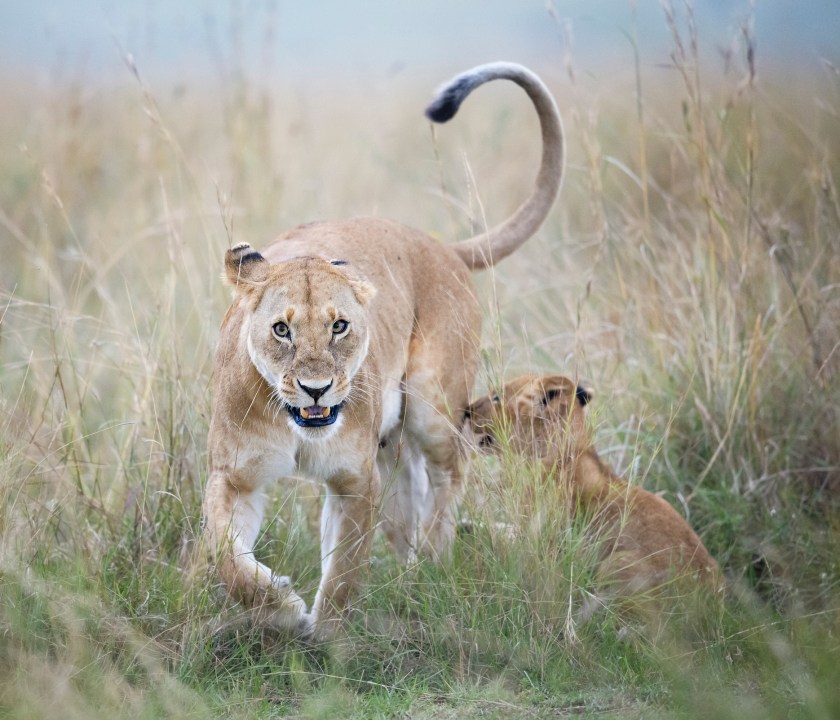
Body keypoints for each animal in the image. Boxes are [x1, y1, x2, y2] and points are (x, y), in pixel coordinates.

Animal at [202, 63, 565, 636]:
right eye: (281, 330)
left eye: (340, 326)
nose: (316, 389)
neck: (295, 423)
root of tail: (441, 246)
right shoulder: (233, 475)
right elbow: (226, 559)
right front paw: (281, 607)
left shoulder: (356, 481)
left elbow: (345, 570)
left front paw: (326, 637)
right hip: (390, 444)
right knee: (408, 498)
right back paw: (410, 570)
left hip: (432, 407)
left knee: (450, 472)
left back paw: (433, 560)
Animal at [463, 375, 719, 606]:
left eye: (497, 396)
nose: (466, 410)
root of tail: (714, 602)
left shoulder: (537, 543)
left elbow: (495, 538)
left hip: (616, 563)